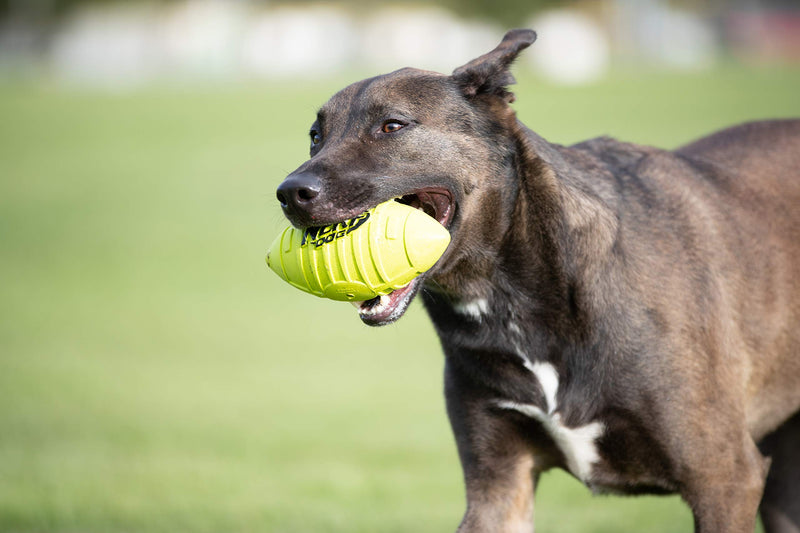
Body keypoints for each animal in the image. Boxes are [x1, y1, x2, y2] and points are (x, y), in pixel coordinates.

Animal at [276, 28, 800, 532]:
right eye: (315, 136)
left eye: (392, 126)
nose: (290, 193)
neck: (516, 300)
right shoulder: (498, 490)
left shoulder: (724, 480)